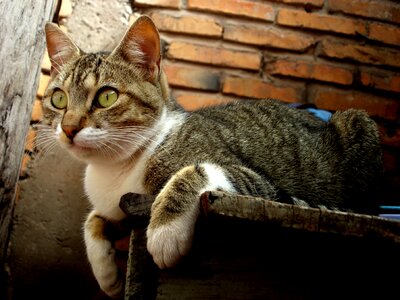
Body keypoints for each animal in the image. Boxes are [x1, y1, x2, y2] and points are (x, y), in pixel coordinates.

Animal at [41, 15, 384, 298]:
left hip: (359, 123)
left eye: (106, 97)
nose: (69, 128)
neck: (117, 167)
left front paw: (165, 233)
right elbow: (94, 219)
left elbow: (195, 171)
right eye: (58, 98)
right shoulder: (117, 205)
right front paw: (106, 274)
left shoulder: (261, 184)